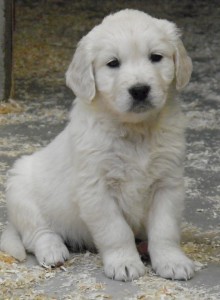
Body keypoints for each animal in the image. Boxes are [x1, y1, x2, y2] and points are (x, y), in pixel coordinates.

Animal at [1, 9, 194, 282]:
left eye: (156, 57)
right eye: (113, 63)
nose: (139, 90)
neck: (134, 130)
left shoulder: (168, 183)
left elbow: (164, 229)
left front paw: (172, 261)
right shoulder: (96, 188)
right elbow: (115, 230)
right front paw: (124, 262)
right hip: (20, 191)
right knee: (36, 233)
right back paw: (52, 250)